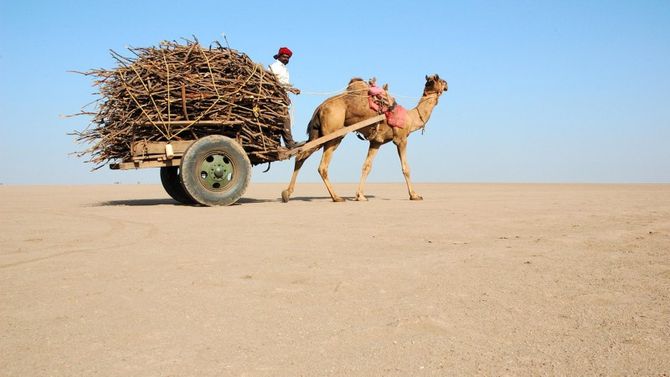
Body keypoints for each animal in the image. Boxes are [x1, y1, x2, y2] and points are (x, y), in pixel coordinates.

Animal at [280, 74, 448, 203]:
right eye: (439, 79)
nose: (447, 84)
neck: (411, 118)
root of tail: (320, 107)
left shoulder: (376, 142)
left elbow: (366, 166)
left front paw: (360, 195)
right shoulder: (401, 139)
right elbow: (406, 168)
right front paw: (415, 195)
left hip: (319, 134)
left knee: (301, 155)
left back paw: (286, 193)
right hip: (333, 133)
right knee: (322, 166)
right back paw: (336, 197)